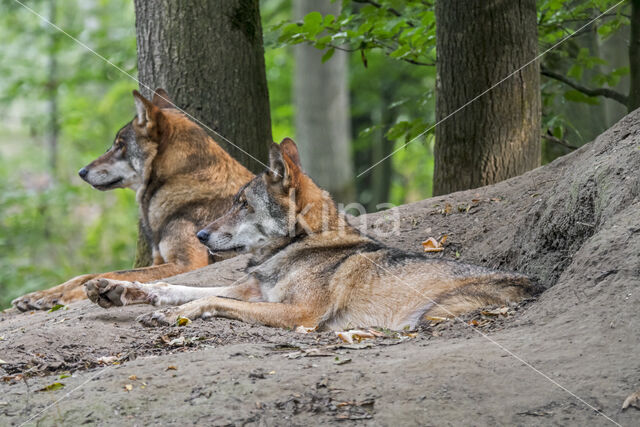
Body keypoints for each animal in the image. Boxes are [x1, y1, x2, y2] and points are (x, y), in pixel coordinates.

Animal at [11, 89, 252, 310]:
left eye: (120, 145)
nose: (81, 172)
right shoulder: (159, 260)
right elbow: (84, 275)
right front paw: (38, 296)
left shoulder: (188, 263)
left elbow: (111, 273)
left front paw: (68, 295)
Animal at [82, 139, 536, 332]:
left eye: (243, 204)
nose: (202, 235)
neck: (299, 245)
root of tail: (535, 284)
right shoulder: (253, 292)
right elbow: (177, 288)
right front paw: (115, 289)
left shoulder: (298, 313)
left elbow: (211, 299)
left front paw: (169, 314)